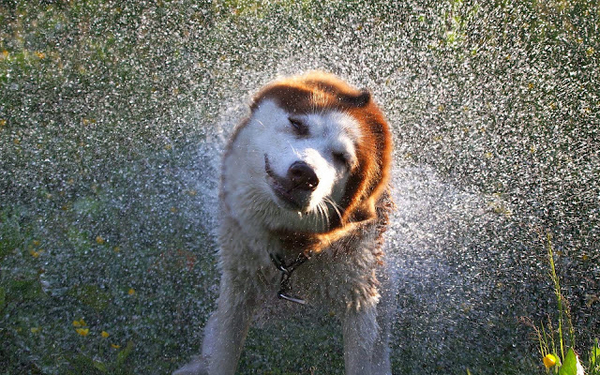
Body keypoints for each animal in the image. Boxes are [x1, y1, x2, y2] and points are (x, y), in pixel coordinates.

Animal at [175, 72, 394, 375]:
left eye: (342, 158)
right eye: (297, 124)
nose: (304, 175)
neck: (290, 246)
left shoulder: (358, 294)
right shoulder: (239, 278)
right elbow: (224, 350)